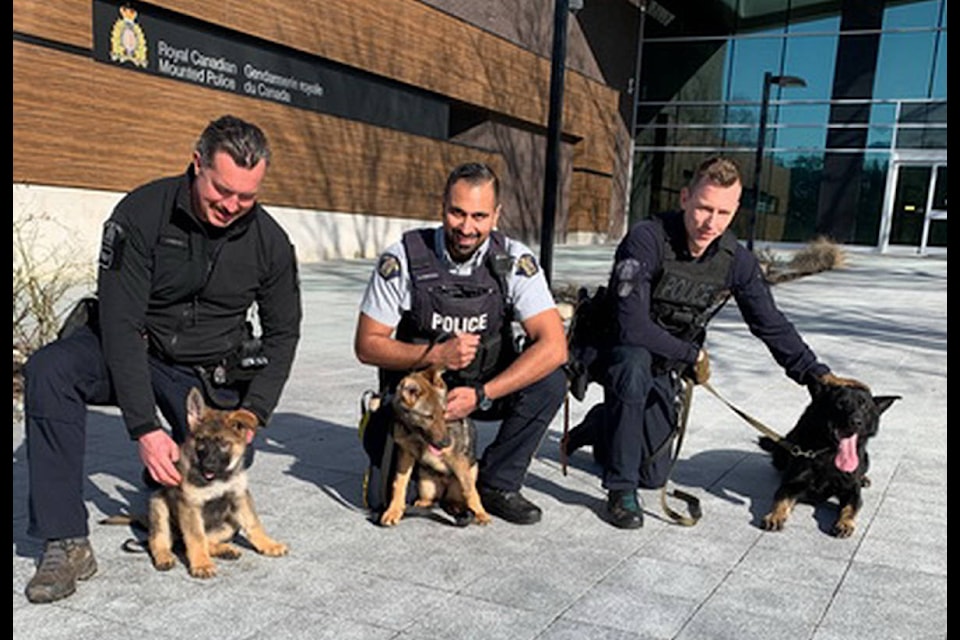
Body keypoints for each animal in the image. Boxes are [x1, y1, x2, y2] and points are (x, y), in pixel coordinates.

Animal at [104, 388, 286, 576]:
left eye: (224, 444)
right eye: (201, 441)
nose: (208, 466)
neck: (218, 478)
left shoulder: (240, 496)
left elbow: (253, 523)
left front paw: (268, 544)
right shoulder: (190, 506)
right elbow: (196, 537)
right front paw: (201, 564)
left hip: (230, 524)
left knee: (203, 541)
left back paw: (224, 549)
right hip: (159, 506)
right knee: (160, 540)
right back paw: (164, 556)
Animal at [378, 368, 492, 528]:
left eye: (444, 412)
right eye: (429, 417)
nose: (446, 443)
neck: (416, 436)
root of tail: (444, 489)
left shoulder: (457, 460)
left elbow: (470, 490)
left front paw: (481, 513)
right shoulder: (405, 454)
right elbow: (399, 484)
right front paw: (394, 510)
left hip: (470, 471)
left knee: (458, 497)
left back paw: (460, 509)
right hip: (425, 482)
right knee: (432, 499)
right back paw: (423, 504)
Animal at [756, 380, 900, 540]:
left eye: (865, 406)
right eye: (841, 403)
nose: (856, 422)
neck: (829, 453)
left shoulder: (851, 490)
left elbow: (849, 508)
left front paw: (845, 523)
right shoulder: (792, 484)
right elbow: (781, 500)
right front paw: (775, 515)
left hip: (865, 459)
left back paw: (863, 478)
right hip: (781, 453)